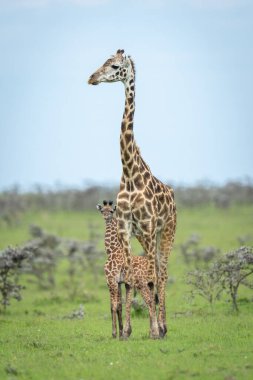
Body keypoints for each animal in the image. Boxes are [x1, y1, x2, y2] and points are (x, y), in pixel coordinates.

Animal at [97, 200, 156, 340]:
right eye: (102, 210)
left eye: (111, 211)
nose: (106, 217)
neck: (112, 250)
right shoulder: (119, 282)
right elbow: (119, 306)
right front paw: (121, 332)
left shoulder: (111, 280)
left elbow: (113, 306)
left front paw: (114, 334)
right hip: (150, 283)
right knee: (154, 302)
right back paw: (156, 331)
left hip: (141, 283)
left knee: (150, 302)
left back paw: (154, 334)